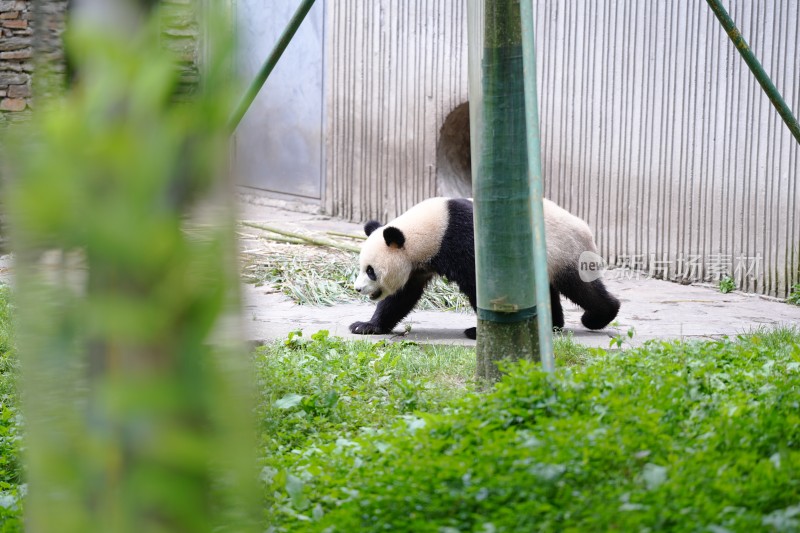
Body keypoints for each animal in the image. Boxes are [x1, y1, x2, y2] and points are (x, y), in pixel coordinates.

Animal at [348, 196, 620, 340]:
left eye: (370, 270)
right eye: (361, 268)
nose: (358, 289)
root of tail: (584, 227)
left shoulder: (463, 240)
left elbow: (481, 286)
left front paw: (479, 331)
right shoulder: (418, 265)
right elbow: (401, 297)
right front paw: (366, 325)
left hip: (565, 251)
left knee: (581, 288)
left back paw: (598, 316)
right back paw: (552, 323)